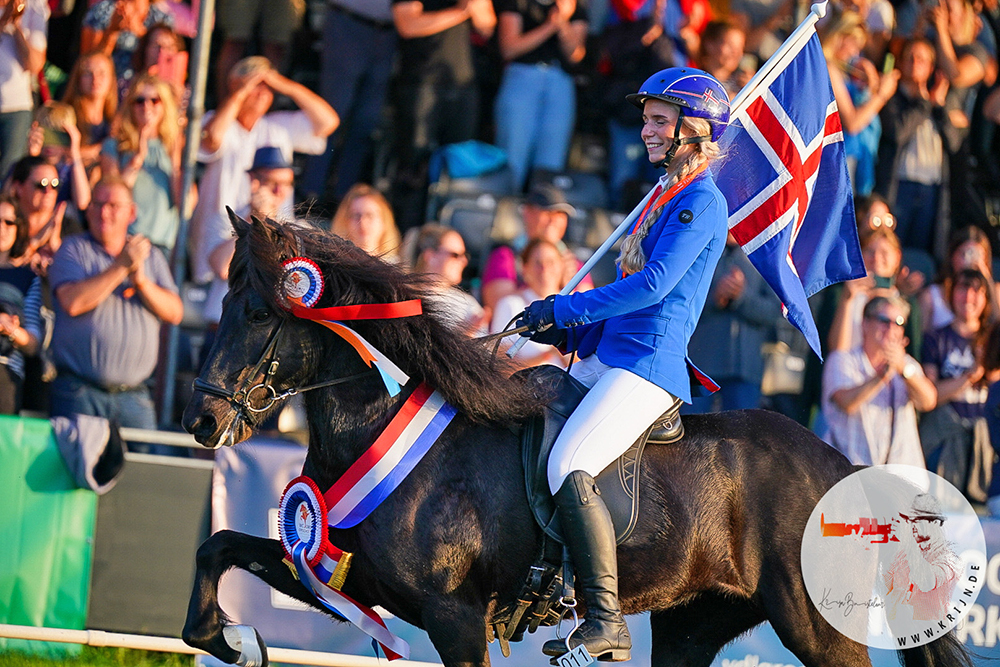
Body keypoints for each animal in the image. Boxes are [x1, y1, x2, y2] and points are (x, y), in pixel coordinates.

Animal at [180, 215, 968, 667]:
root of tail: (845, 465)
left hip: (818, 630)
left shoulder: (453, 618)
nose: (202, 422)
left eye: (257, 311)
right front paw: (234, 640)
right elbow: (216, 548)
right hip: (692, 625)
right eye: (221, 301)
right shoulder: (342, 575)